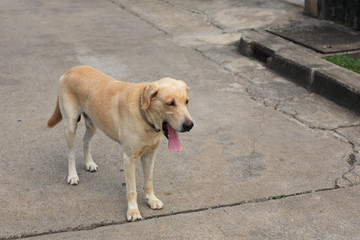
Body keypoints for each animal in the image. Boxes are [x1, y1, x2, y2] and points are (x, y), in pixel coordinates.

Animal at [48, 65, 194, 221]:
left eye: (187, 101)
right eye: (170, 103)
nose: (189, 125)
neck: (144, 117)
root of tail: (71, 69)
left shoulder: (150, 155)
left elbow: (149, 181)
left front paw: (151, 200)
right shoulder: (129, 158)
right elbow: (132, 189)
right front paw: (133, 211)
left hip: (93, 124)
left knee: (85, 141)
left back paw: (89, 163)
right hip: (70, 124)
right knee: (70, 153)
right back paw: (72, 176)